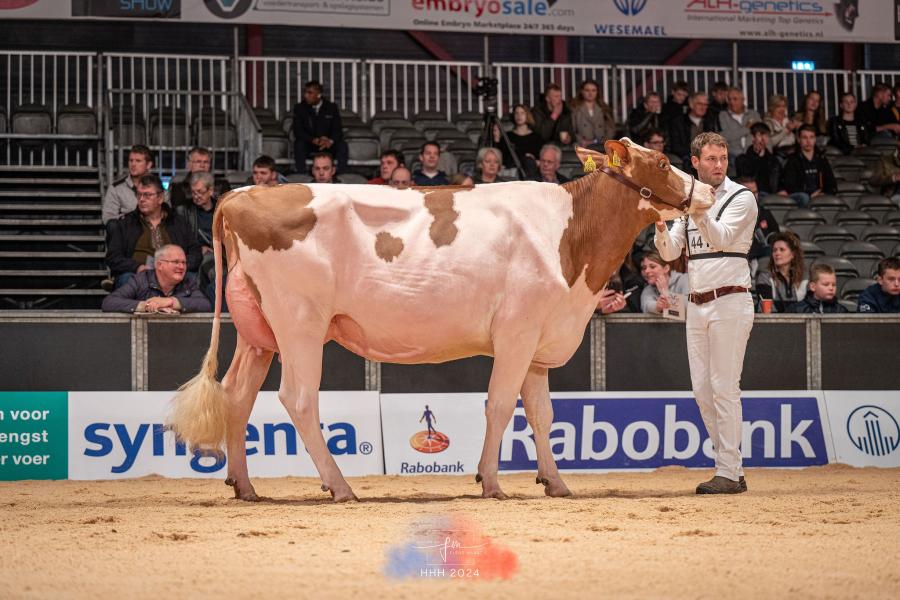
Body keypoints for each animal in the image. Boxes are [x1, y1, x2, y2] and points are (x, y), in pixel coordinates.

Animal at [172, 141, 712, 502]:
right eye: (661, 162)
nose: (708, 189)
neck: (570, 240)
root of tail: (241, 194)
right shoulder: (516, 333)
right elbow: (500, 406)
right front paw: (491, 482)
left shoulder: (539, 342)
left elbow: (541, 414)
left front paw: (555, 482)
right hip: (299, 323)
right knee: (299, 399)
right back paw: (340, 485)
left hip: (258, 332)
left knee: (237, 395)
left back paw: (245, 486)